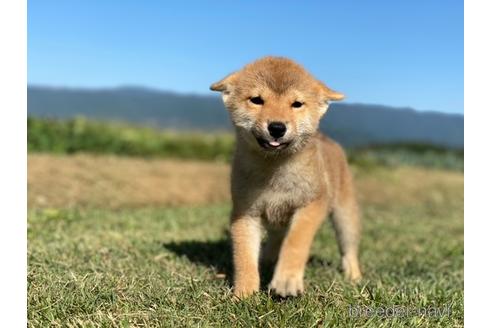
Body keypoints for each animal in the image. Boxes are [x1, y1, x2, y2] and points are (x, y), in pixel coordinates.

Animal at [209, 57, 362, 300]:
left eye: (297, 104)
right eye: (257, 100)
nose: (277, 127)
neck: (275, 171)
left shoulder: (312, 203)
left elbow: (296, 241)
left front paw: (286, 280)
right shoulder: (245, 212)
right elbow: (244, 256)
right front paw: (244, 293)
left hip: (345, 215)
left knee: (348, 248)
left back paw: (354, 276)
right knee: (275, 240)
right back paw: (268, 259)